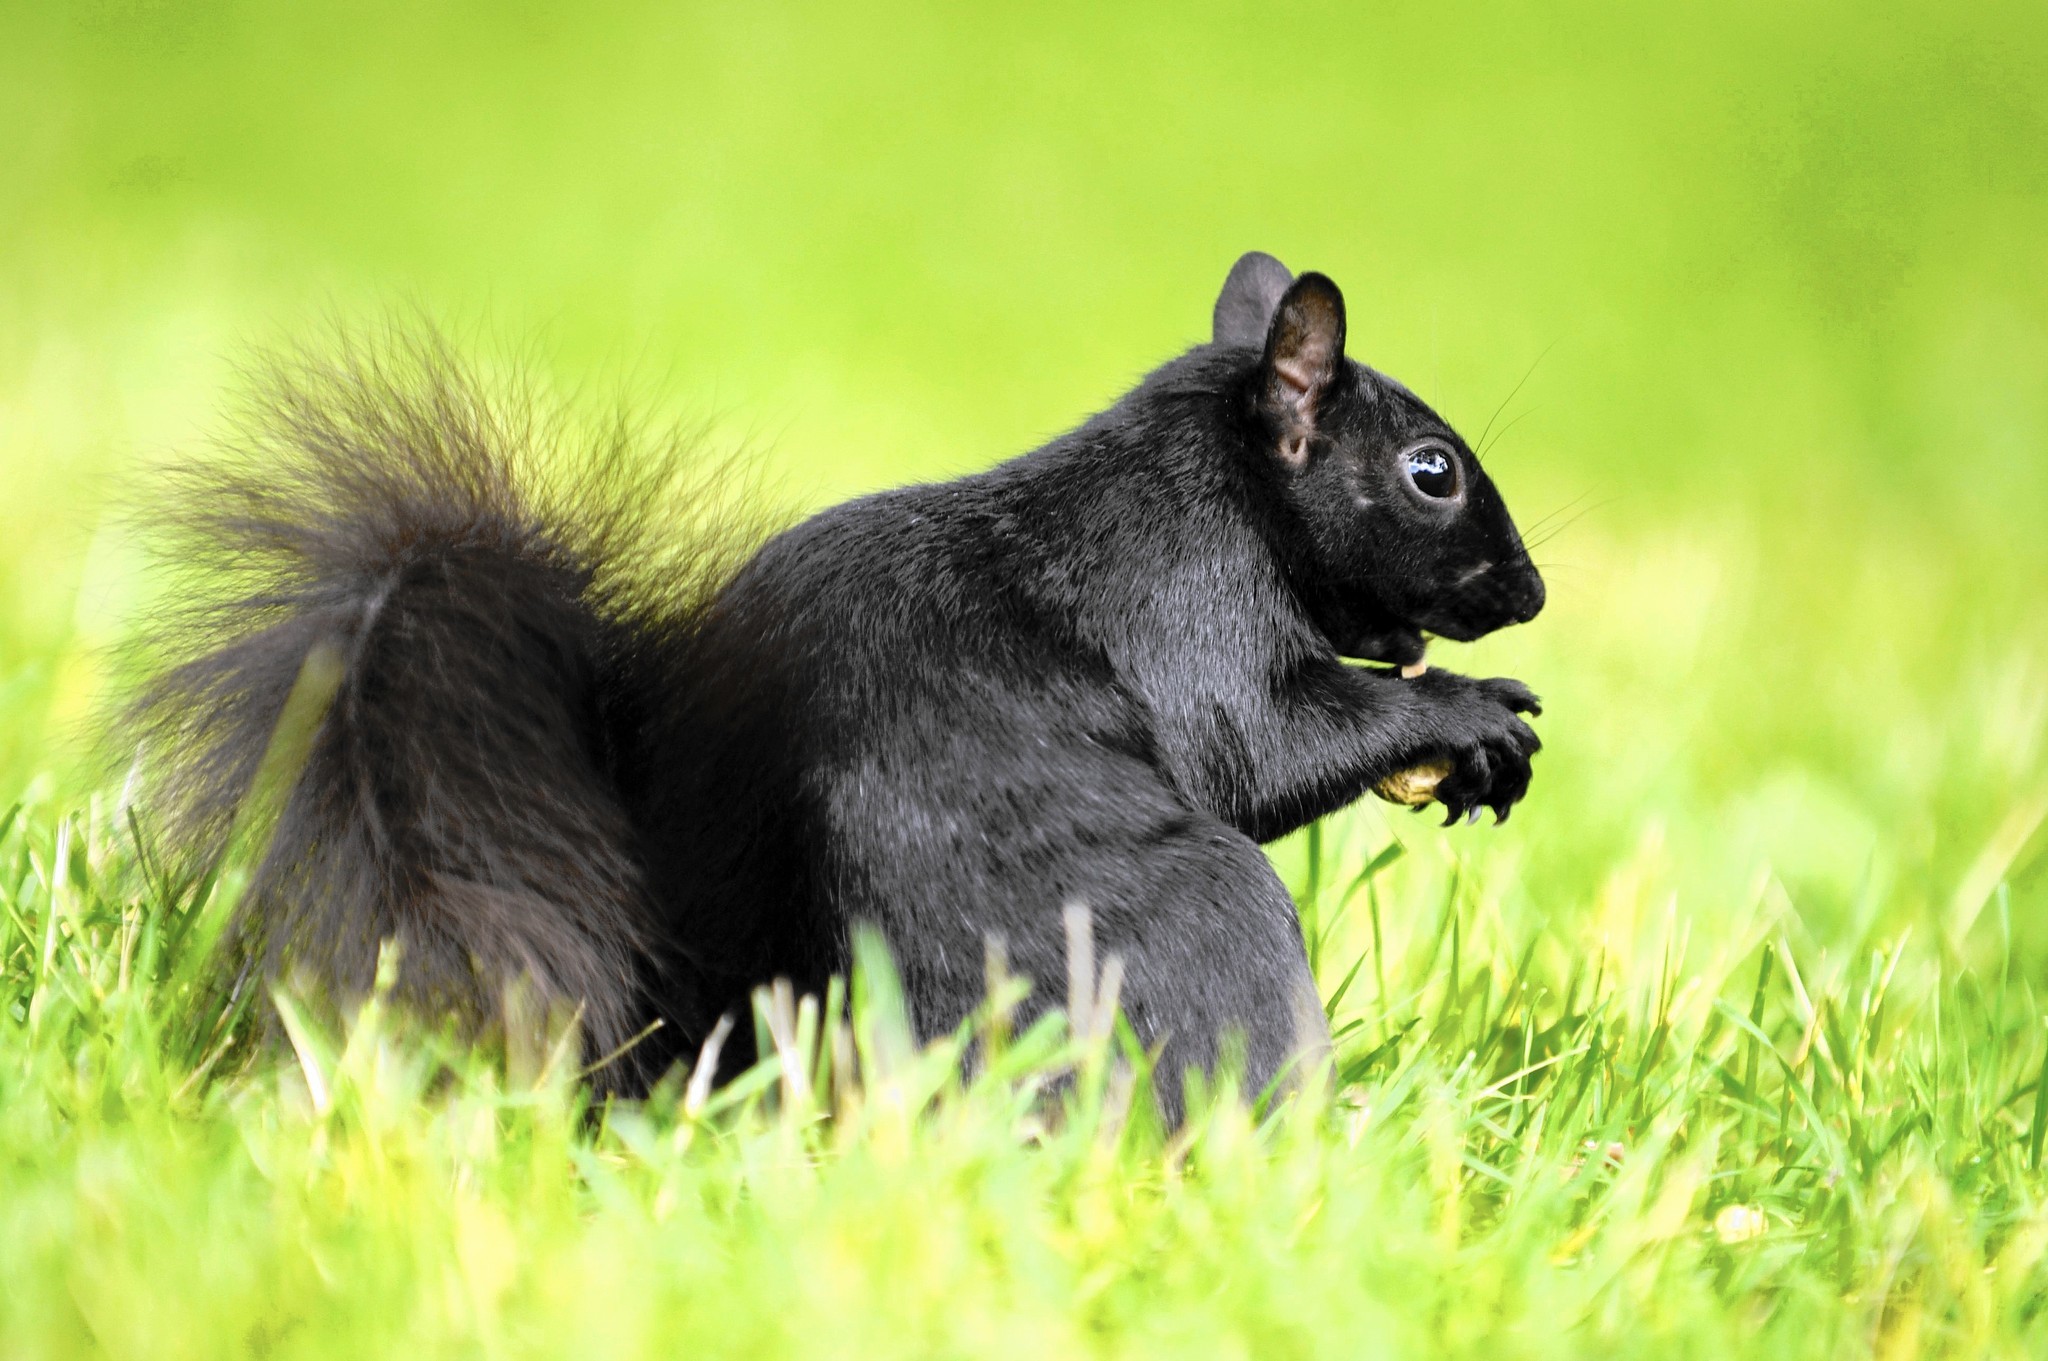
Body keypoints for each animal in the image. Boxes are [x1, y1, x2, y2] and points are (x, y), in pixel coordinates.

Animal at [119, 254, 1540, 1113]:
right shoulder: (1183, 603)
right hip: (1188, 932)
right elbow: (1261, 745)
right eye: (1430, 470)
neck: (1221, 475)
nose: (1527, 589)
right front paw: (1471, 714)